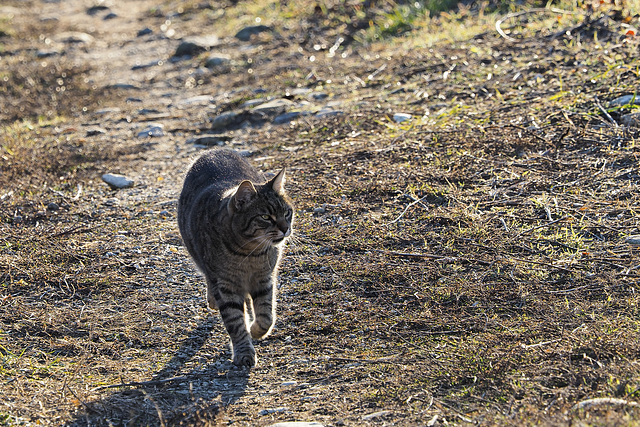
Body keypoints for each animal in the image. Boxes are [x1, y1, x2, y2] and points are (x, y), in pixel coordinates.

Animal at [178, 149, 292, 366]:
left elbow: (266, 314)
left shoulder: (264, 279)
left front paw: (256, 330)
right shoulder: (225, 286)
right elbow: (235, 323)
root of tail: (212, 151)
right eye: (266, 217)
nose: (285, 228)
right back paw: (213, 299)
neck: (250, 254)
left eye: (287, 213)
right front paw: (244, 351)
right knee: (209, 280)